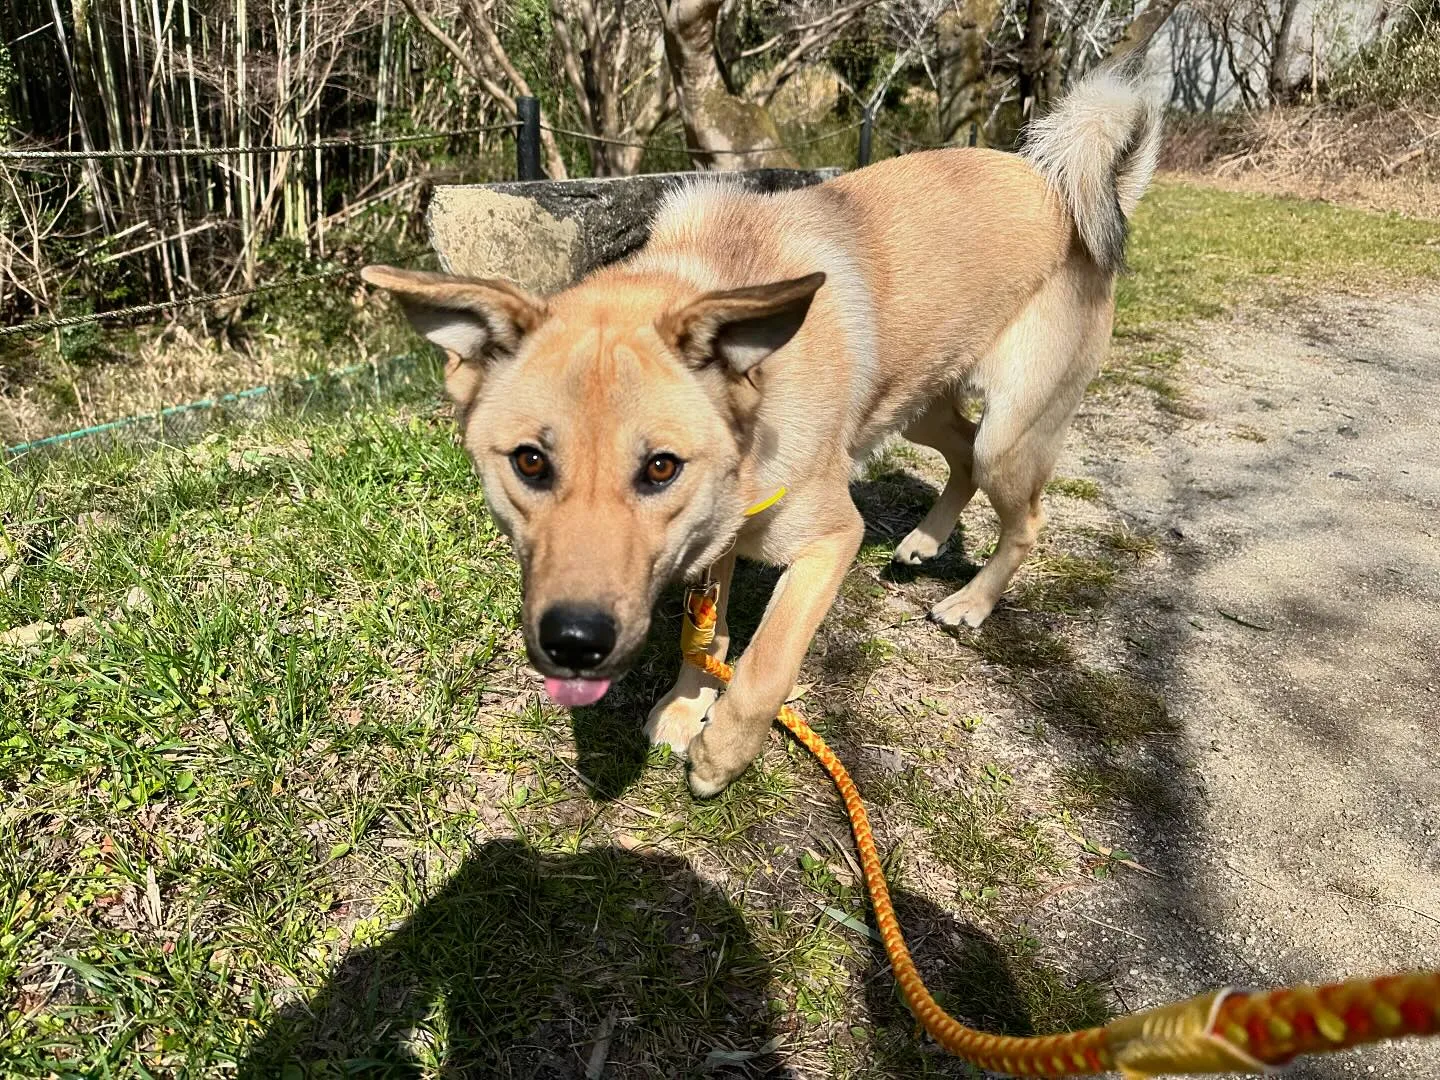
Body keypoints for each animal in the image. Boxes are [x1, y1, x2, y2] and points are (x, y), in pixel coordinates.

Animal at [365, 67, 1163, 794]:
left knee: (1025, 517)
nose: (574, 644)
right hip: (921, 404)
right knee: (961, 456)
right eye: (529, 462)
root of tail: (1057, 188)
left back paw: (972, 602)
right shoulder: (713, 538)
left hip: (1011, 433)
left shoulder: (829, 540)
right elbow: (707, 633)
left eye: (661, 468)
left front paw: (722, 751)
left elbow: (766, 662)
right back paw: (924, 541)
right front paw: (686, 705)